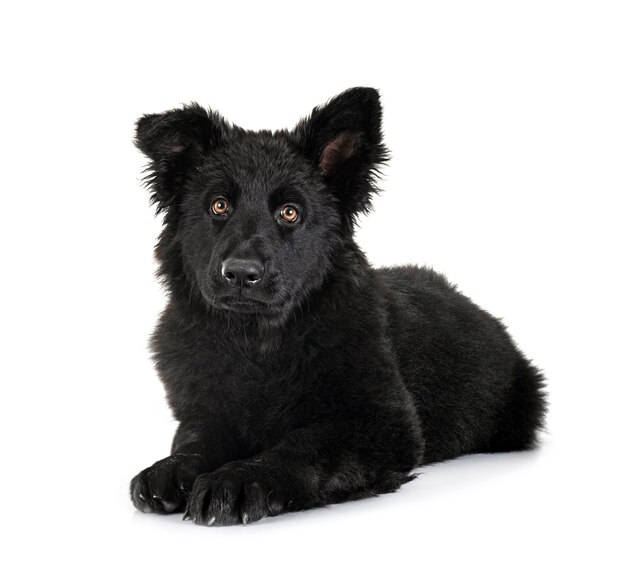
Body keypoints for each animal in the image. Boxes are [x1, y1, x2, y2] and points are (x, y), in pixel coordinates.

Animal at [129, 87, 544, 524]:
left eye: (290, 213)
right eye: (219, 205)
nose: (241, 273)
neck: (257, 344)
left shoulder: (380, 423)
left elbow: (300, 446)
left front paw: (239, 479)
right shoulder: (204, 414)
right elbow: (194, 442)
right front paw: (169, 470)